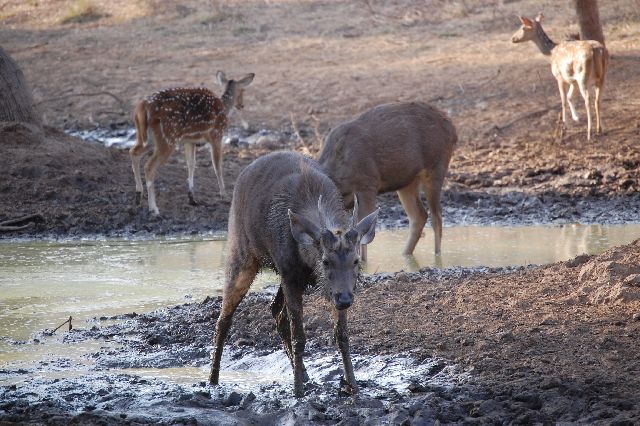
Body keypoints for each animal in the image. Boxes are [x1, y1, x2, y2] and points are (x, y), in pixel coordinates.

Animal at [130, 72, 255, 216]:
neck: (224, 107)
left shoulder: (190, 141)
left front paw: (192, 198)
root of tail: (141, 107)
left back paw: (138, 197)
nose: (241, 105)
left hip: (146, 137)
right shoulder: (216, 135)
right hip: (167, 138)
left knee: (133, 152)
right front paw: (224, 195)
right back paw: (153, 208)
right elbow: (217, 166)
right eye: (243, 90)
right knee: (149, 166)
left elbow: (191, 164)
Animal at [210, 151, 380, 398]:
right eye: (325, 261)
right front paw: (297, 391)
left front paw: (353, 385)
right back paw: (212, 380)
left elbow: (342, 336)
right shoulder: (290, 274)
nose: (345, 299)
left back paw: (304, 374)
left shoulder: (318, 285)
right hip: (240, 251)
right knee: (224, 319)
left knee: (275, 310)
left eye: (356, 261)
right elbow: (299, 336)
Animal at [318, 101, 458, 262]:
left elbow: (363, 229)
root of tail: (453, 129)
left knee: (437, 217)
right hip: (407, 181)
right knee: (420, 215)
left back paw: (437, 257)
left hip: (436, 166)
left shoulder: (368, 183)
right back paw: (406, 254)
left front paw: (363, 262)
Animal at [510, 12, 608, 140]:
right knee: (597, 100)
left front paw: (564, 128)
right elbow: (570, 96)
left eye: (522, 27)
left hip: (582, 75)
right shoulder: (572, 80)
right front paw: (576, 118)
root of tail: (598, 50)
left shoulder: (559, 77)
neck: (551, 52)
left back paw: (589, 132)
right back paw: (599, 129)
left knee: (587, 99)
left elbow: (563, 100)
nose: (513, 38)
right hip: (602, 76)